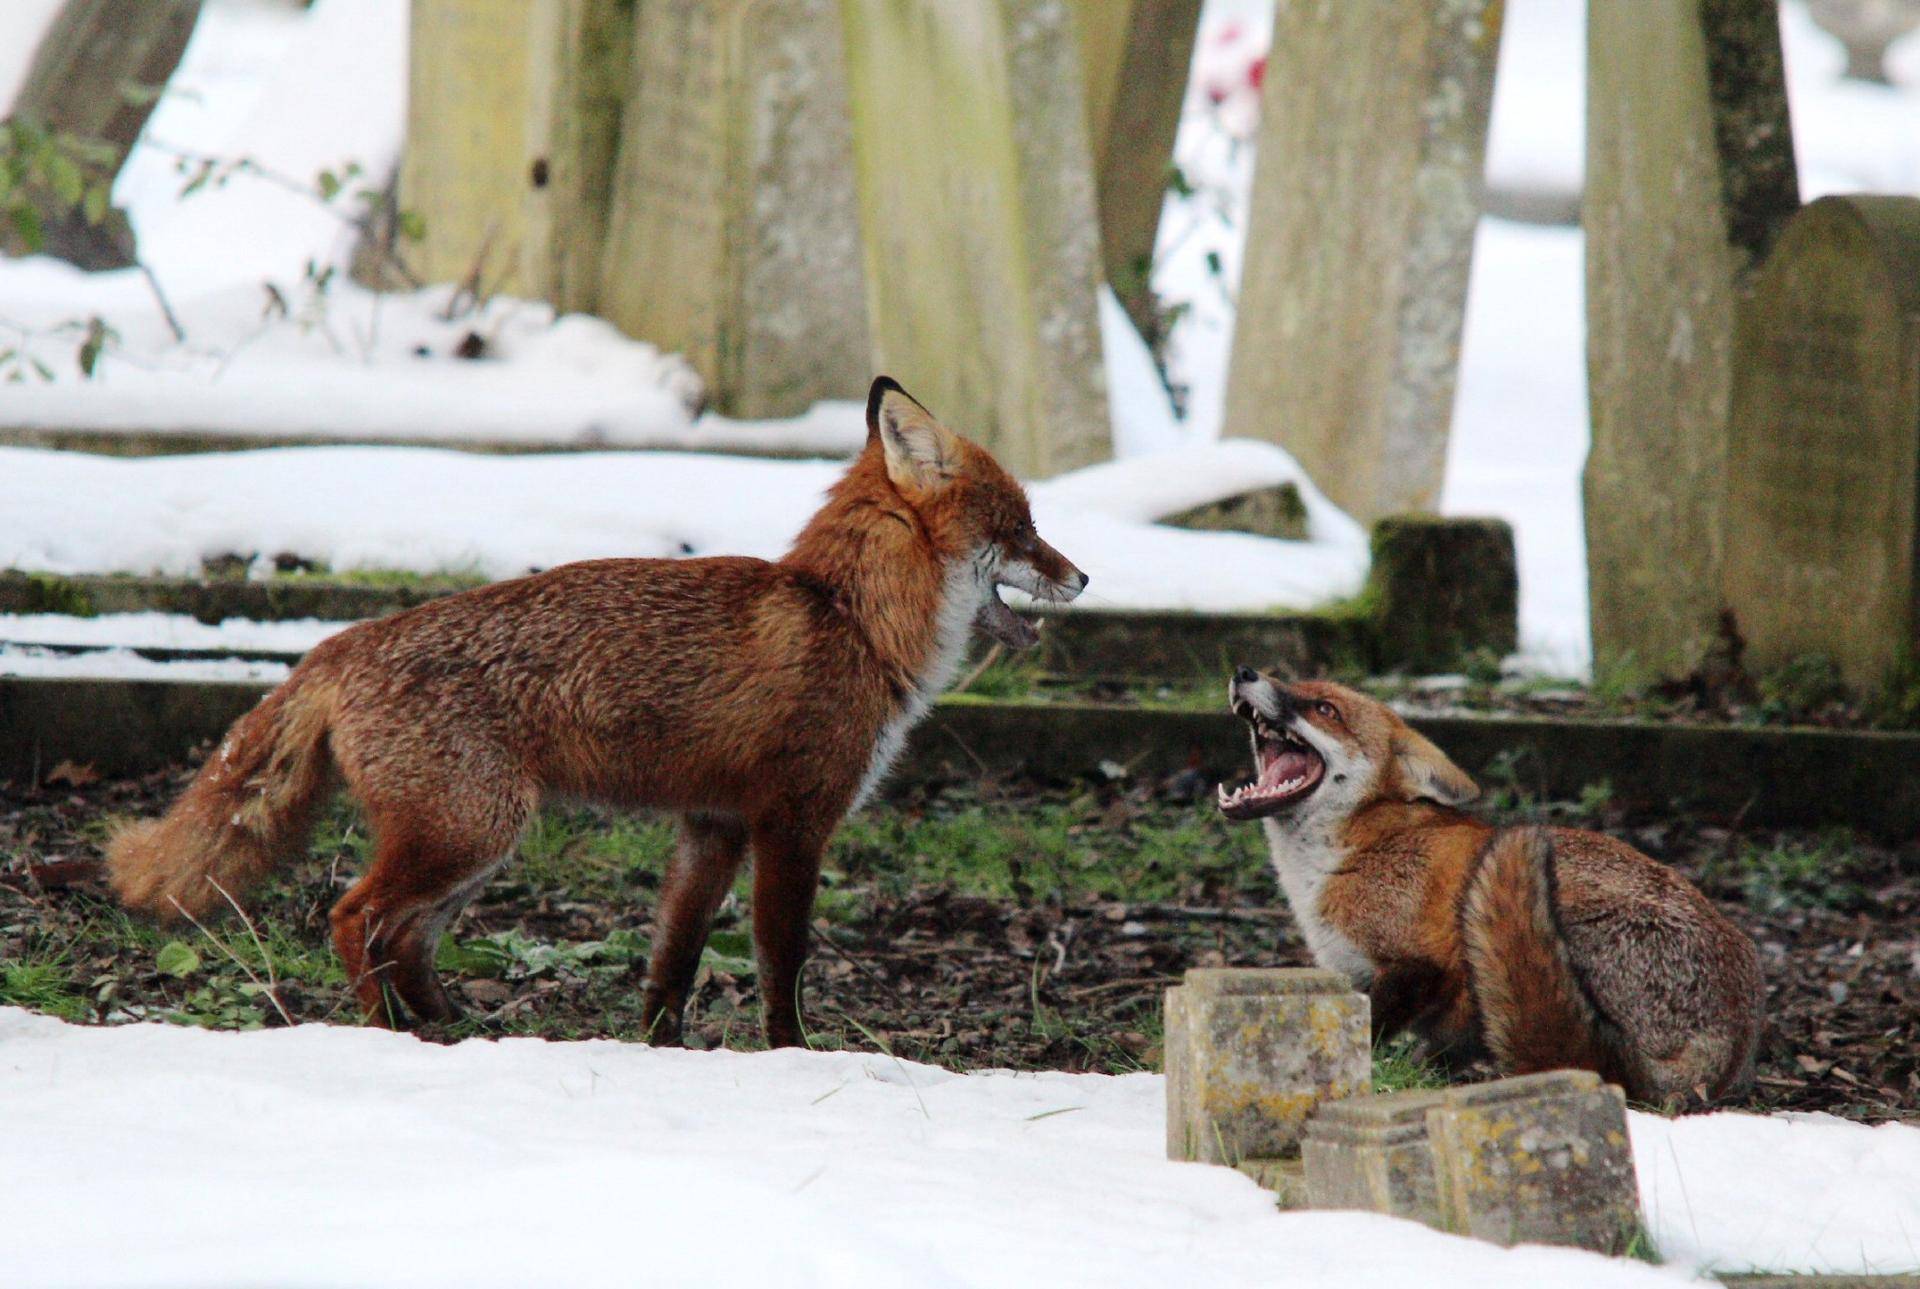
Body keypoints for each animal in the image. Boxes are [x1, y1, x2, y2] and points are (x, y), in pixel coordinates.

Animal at [108, 378, 1082, 1045]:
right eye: (1021, 526)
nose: (1080, 576)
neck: (850, 619)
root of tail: (347, 639)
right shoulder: (794, 822)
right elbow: (782, 964)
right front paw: (792, 1056)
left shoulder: (714, 825)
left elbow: (673, 963)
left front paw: (657, 1051)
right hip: (469, 831)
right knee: (355, 918)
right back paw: (391, 1035)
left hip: (473, 846)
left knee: (405, 938)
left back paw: (455, 1030)